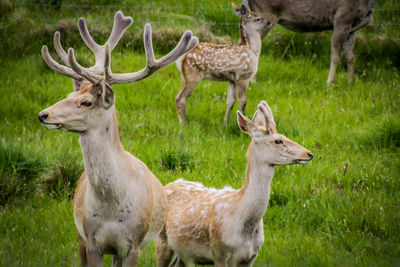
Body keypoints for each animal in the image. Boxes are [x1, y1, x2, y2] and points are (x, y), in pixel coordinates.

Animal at [39, 11, 198, 267]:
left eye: (86, 102)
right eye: (69, 94)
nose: (43, 114)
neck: (111, 210)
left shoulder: (134, 245)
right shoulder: (91, 240)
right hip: (80, 235)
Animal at [155, 101, 314, 267]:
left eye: (284, 136)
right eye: (278, 140)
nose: (309, 154)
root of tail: (168, 184)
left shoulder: (251, 257)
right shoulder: (219, 252)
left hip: (183, 252)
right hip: (160, 238)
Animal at [244, 0, 376, 85]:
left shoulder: (352, 29)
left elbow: (351, 56)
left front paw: (351, 83)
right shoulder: (341, 19)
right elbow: (335, 56)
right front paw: (329, 84)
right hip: (265, 14)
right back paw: (253, 81)